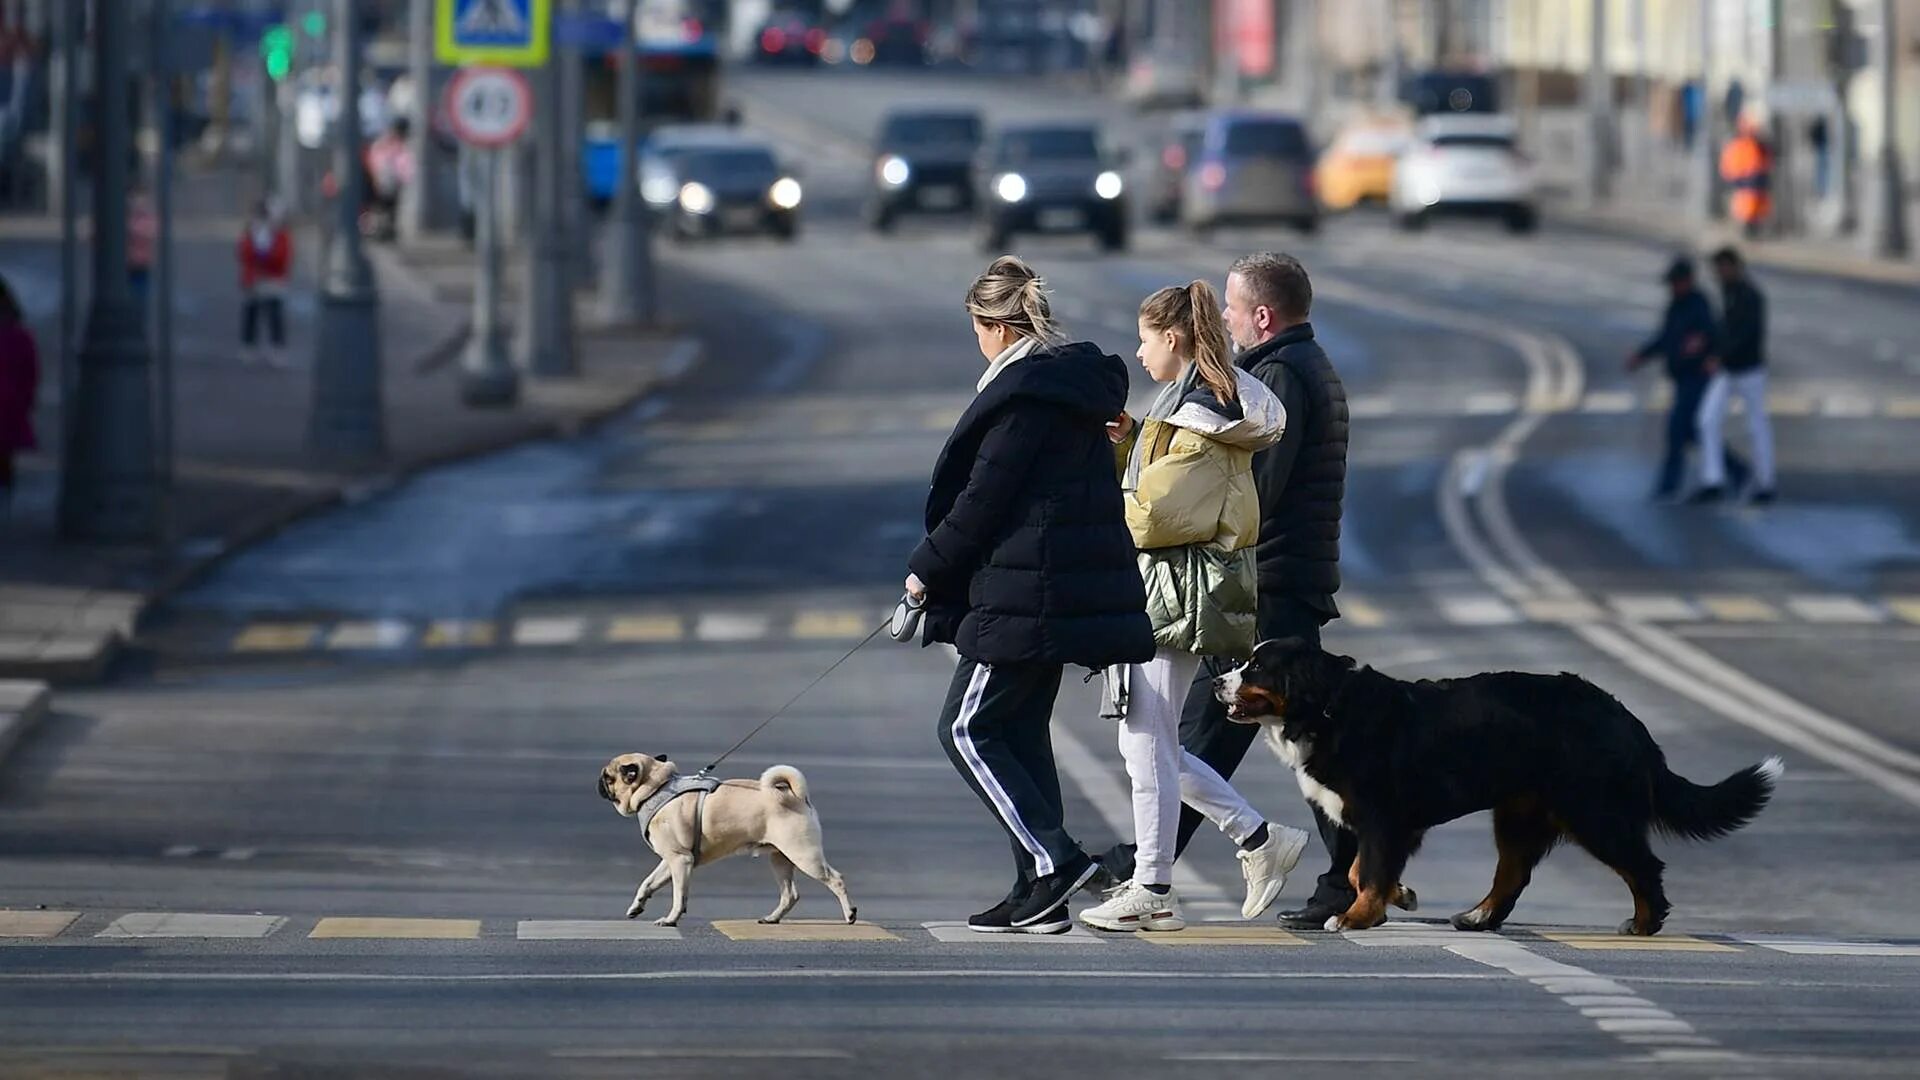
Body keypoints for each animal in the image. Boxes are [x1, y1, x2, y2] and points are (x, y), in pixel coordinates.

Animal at [587, 749, 852, 926]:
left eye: (608, 777)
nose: (599, 782)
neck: (656, 788)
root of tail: (795, 796)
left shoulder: (680, 861)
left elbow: (678, 896)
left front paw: (671, 919)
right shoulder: (670, 861)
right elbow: (648, 883)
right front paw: (637, 905)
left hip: (804, 855)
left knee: (836, 879)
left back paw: (850, 915)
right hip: (781, 859)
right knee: (790, 894)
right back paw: (772, 918)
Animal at [1213, 634, 1781, 930]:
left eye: (1256, 668)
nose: (1218, 680)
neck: (1328, 709)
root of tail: (1625, 717)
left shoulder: (1382, 818)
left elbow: (1366, 873)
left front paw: (1356, 917)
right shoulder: (1388, 824)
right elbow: (1359, 871)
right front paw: (1401, 896)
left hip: (1595, 812)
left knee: (1643, 867)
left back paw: (1643, 923)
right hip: (1519, 814)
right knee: (1513, 873)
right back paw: (1479, 917)